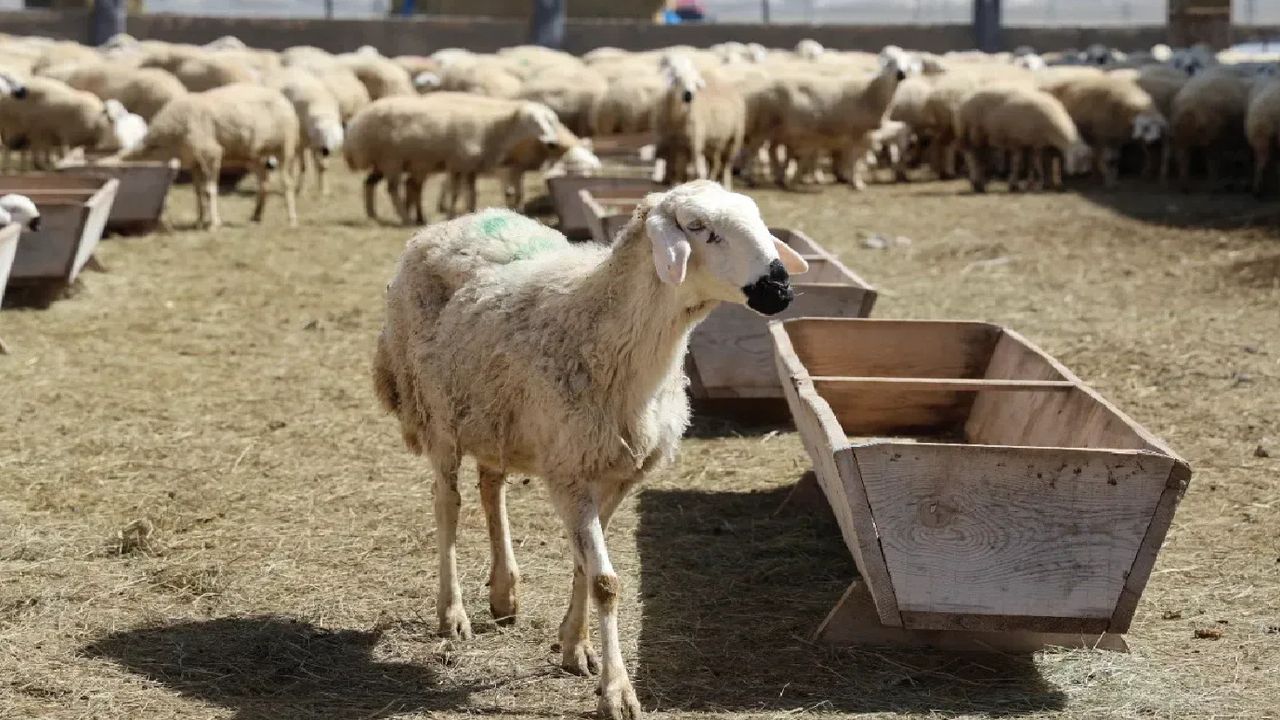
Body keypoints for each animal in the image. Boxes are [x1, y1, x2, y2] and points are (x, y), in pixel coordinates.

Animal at [126, 83, 302, 229]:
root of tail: (283, 98)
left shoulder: (212, 154)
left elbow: (210, 190)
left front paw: (213, 224)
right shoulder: (194, 161)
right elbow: (198, 191)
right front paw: (199, 221)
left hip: (285, 146)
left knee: (287, 183)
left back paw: (292, 219)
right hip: (253, 155)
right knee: (264, 181)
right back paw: (256, 216)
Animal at [373, 178, 808, 717]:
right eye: (698, 227)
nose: (780, 288)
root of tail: (461, 220)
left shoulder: (619, 472)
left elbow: (586, 567)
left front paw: (575, 646)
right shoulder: (571, 473)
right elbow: (605, 581)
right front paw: (617, 690)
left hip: (494, 417)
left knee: (490, 486)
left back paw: (504, 592)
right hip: (438, 416)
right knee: (447, 503)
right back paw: (452, 612)